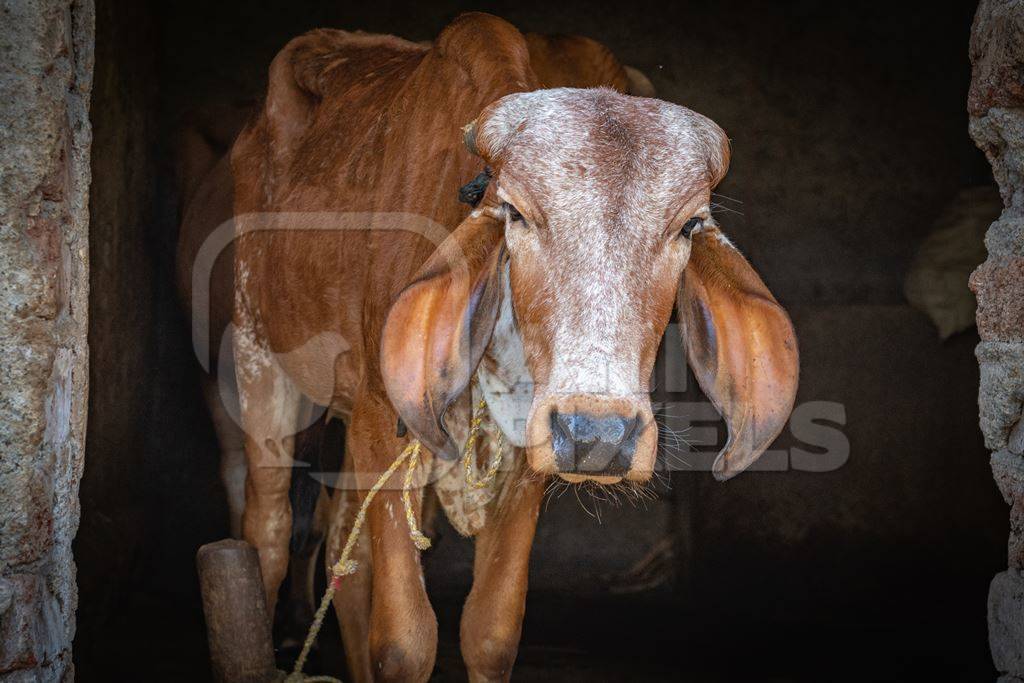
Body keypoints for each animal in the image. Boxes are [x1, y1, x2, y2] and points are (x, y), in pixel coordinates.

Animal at [178, 12, 798, 683]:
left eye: (688, 225)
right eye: (516, 213)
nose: (597, 434)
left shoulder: (528, 451)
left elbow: (490, 633)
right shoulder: (379, 417)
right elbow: (405, 641)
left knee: (344, 544)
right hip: (257, 362)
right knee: (266, 530)